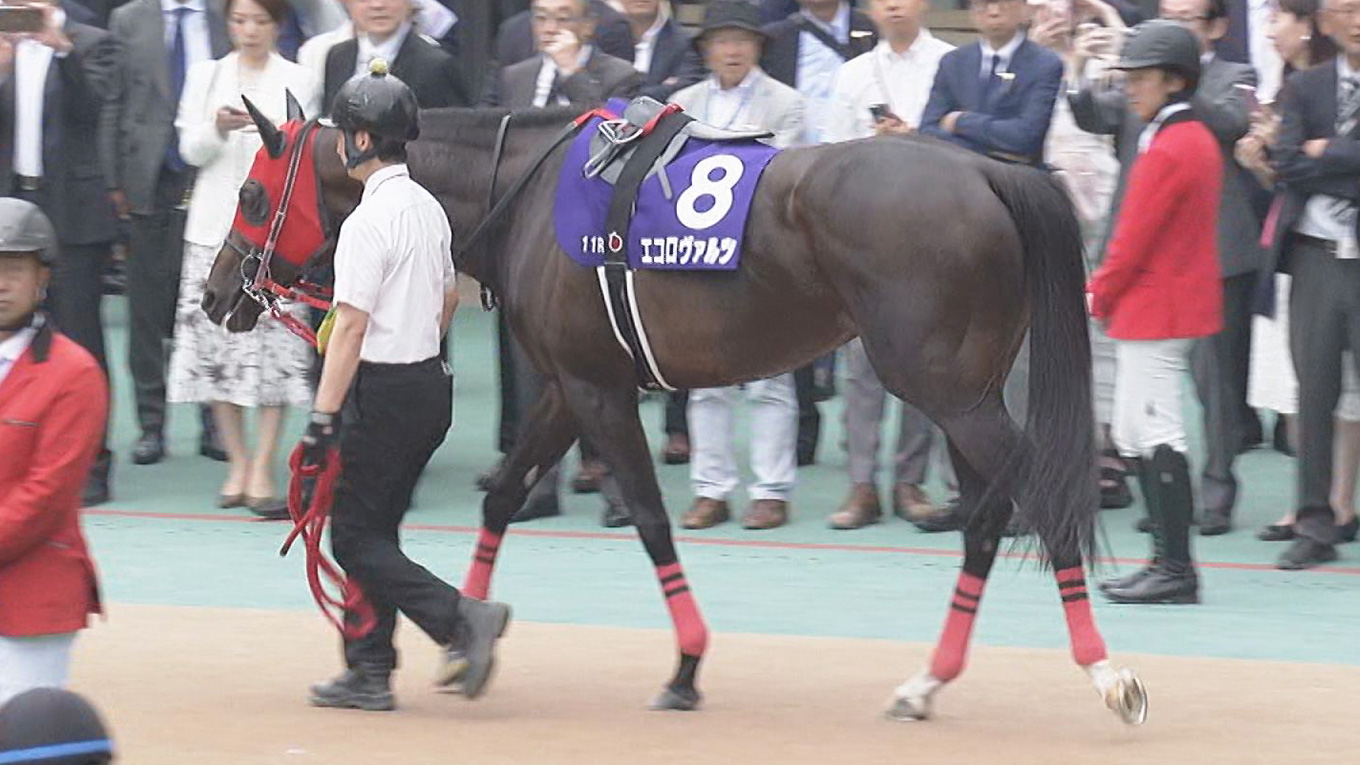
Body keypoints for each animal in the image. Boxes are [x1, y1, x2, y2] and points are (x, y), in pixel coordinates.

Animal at [202, 100, 1148, 725]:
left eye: (251, 196)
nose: (215, 294)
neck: (527, 193)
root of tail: (988, 169)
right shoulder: (569, 384)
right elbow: (502, 495)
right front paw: (463, 637)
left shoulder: (599, 391)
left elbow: (652, 518)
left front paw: (687, 664)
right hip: (963, 393)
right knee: (987, 520)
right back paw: (928, 680)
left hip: (943, 387)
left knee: (1041, 497)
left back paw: (1106, 673)